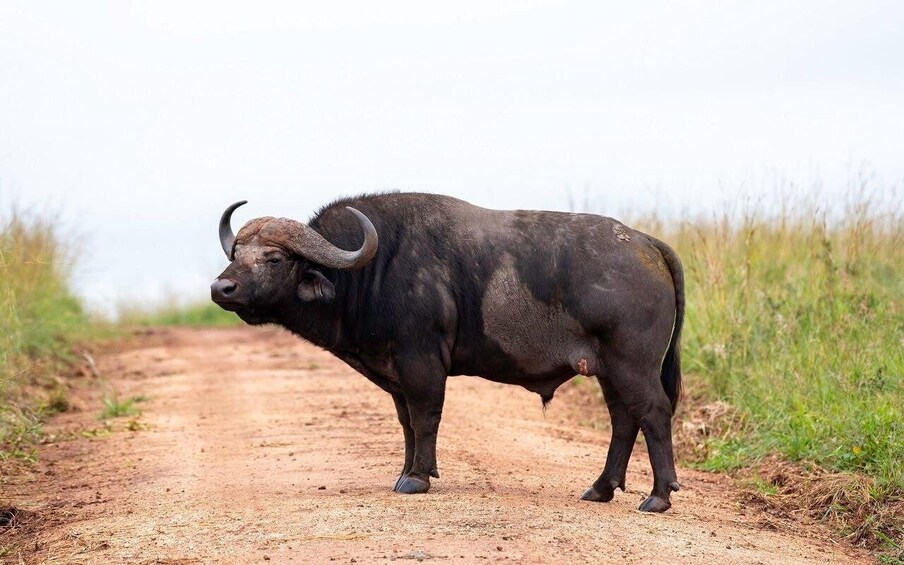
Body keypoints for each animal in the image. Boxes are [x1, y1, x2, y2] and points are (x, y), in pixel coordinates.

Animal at [211, 193, 684, 512]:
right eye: (237, 252)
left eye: (274, 258)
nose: (222, 288)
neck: (376, 268)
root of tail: (646, 244)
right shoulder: (395, 374)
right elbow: (406, 424)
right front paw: (405, 471)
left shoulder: (422, 363)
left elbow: (426, 417)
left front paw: (418, 478)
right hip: (607, 370)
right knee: (624, 420)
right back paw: (600, 489)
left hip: (633, 364)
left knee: (654, 412)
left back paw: (658, 496)